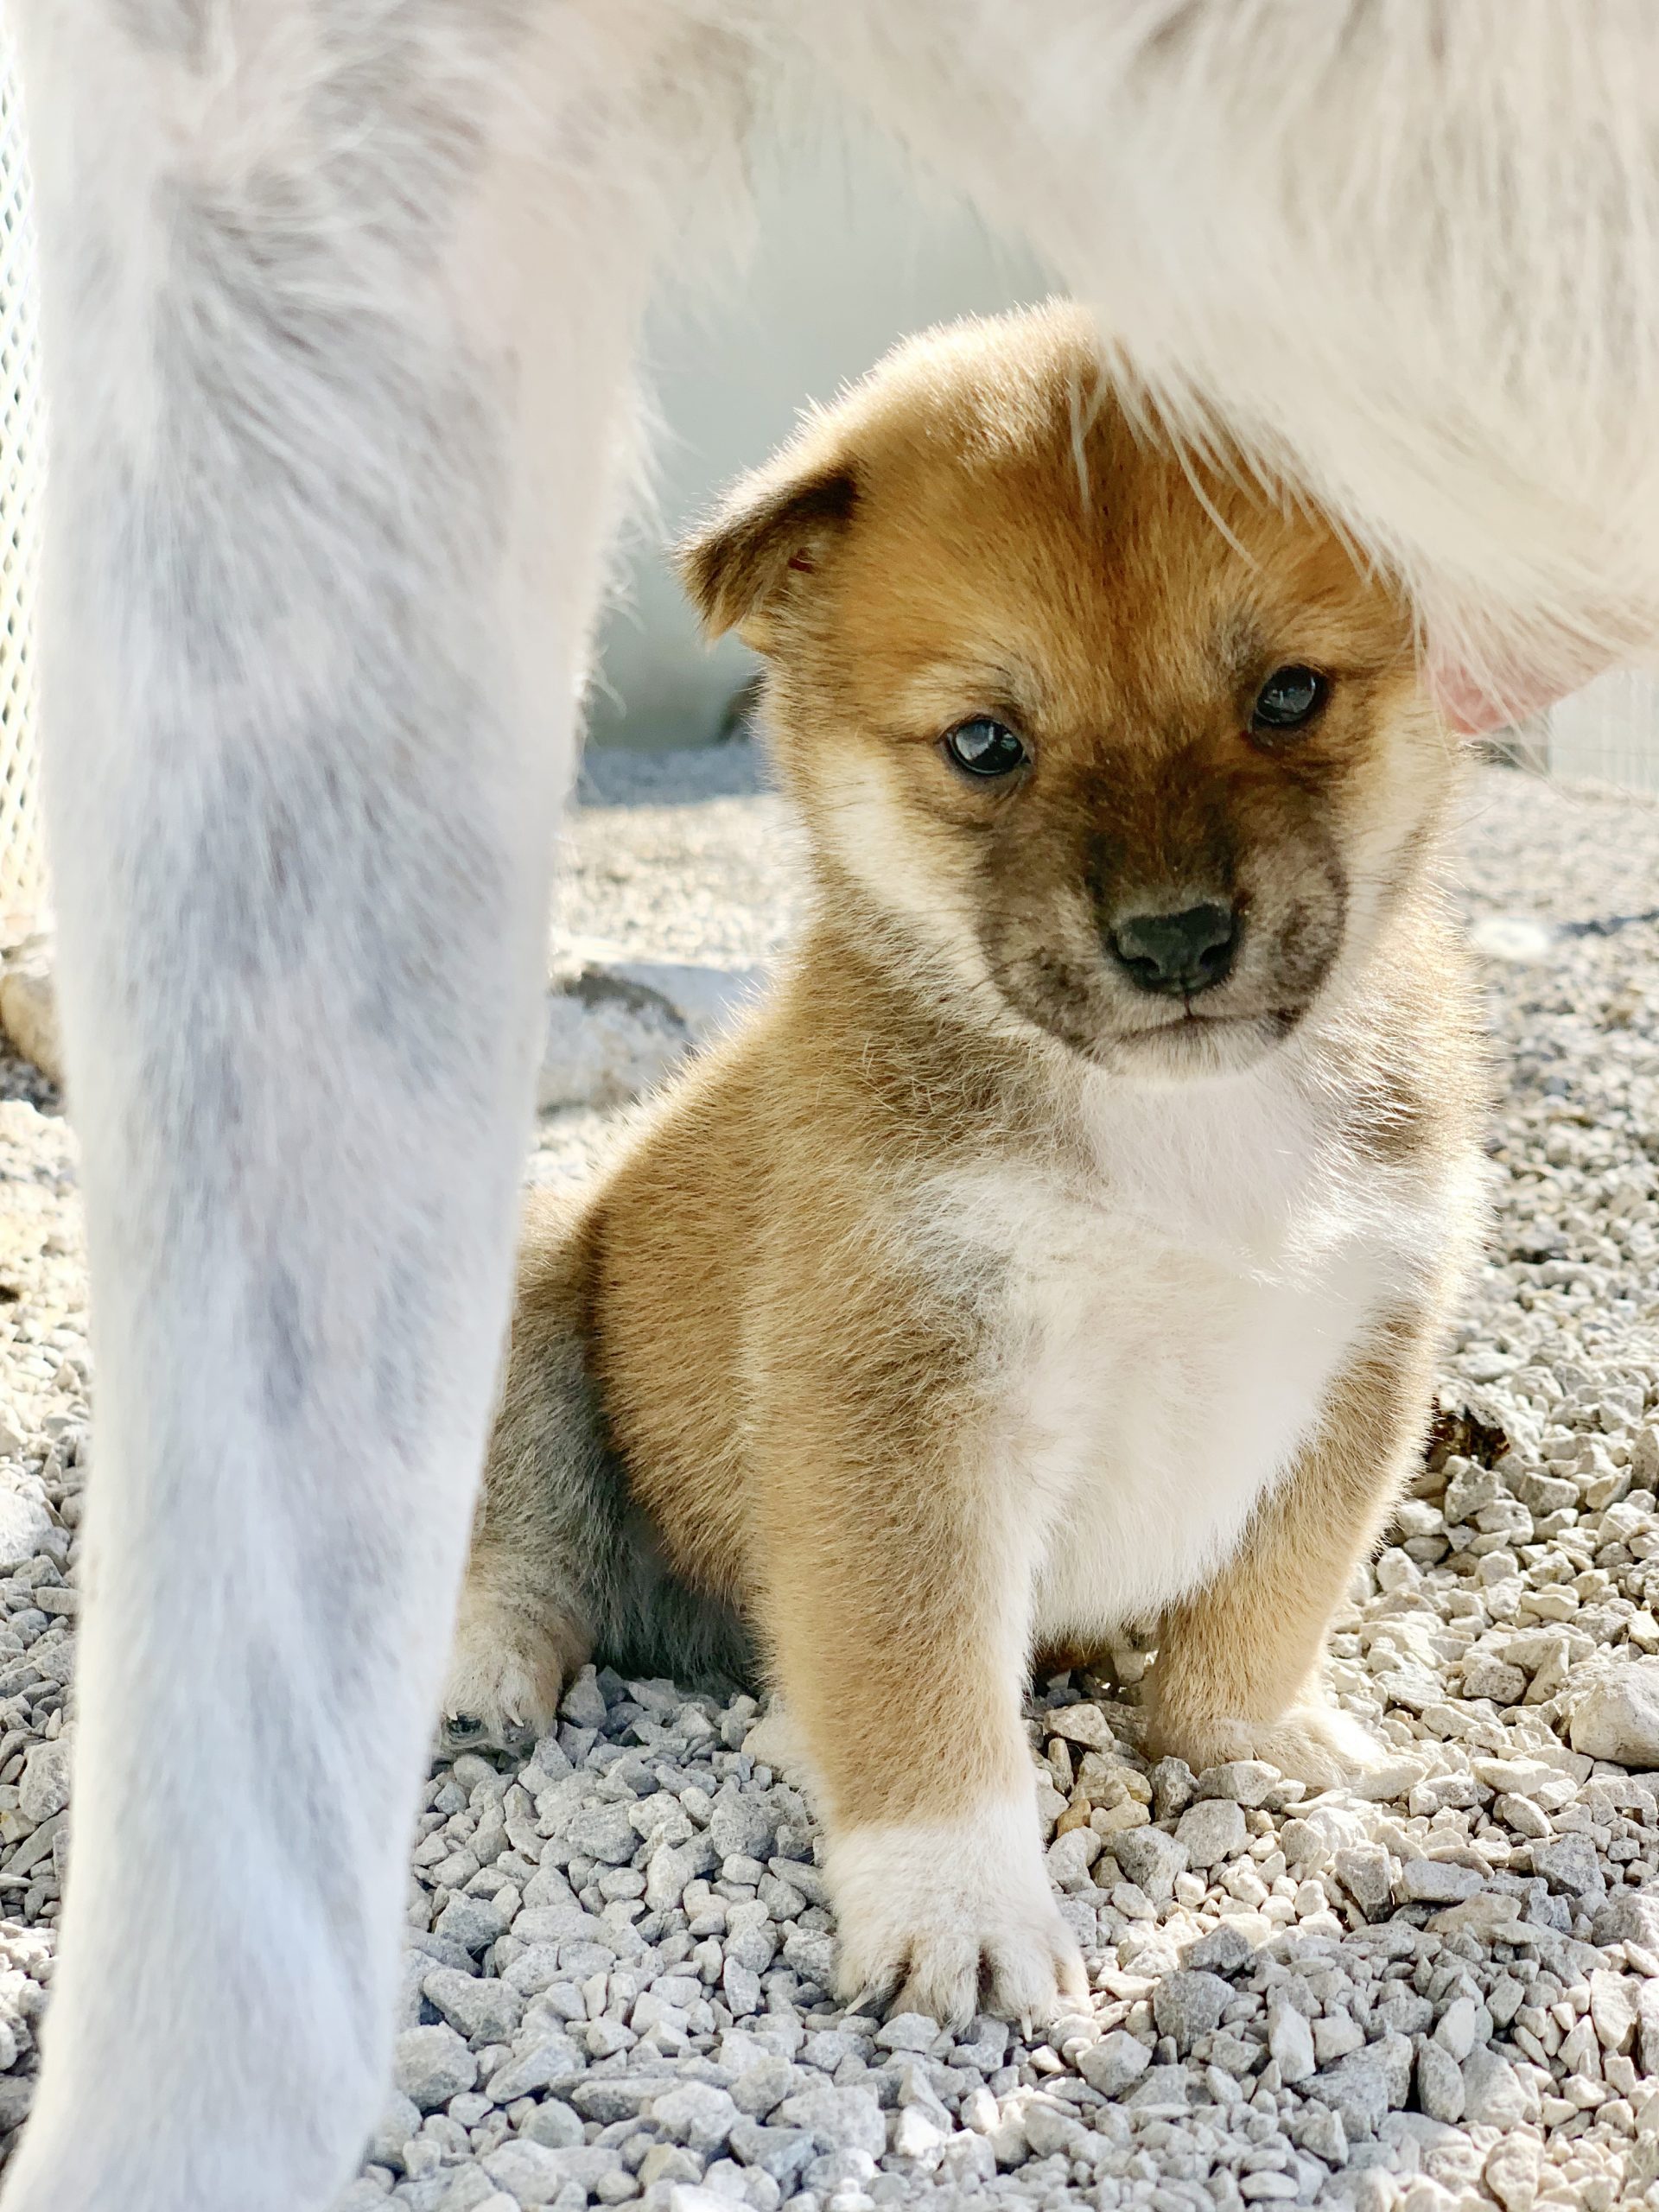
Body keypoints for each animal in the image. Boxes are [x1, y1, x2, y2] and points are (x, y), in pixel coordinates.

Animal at [442, 307, 1478, 2025]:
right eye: (987, 744)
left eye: (1287, 695)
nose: (1176, 941)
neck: (1180, 1129)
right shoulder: (898, 1397)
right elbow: (915, 1676)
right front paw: (958, 1912)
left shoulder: (1367, 1341)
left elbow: (1277, 1592)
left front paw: (1245, 1739)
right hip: (528, 1298)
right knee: (524, 1555)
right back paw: (488, 1672)